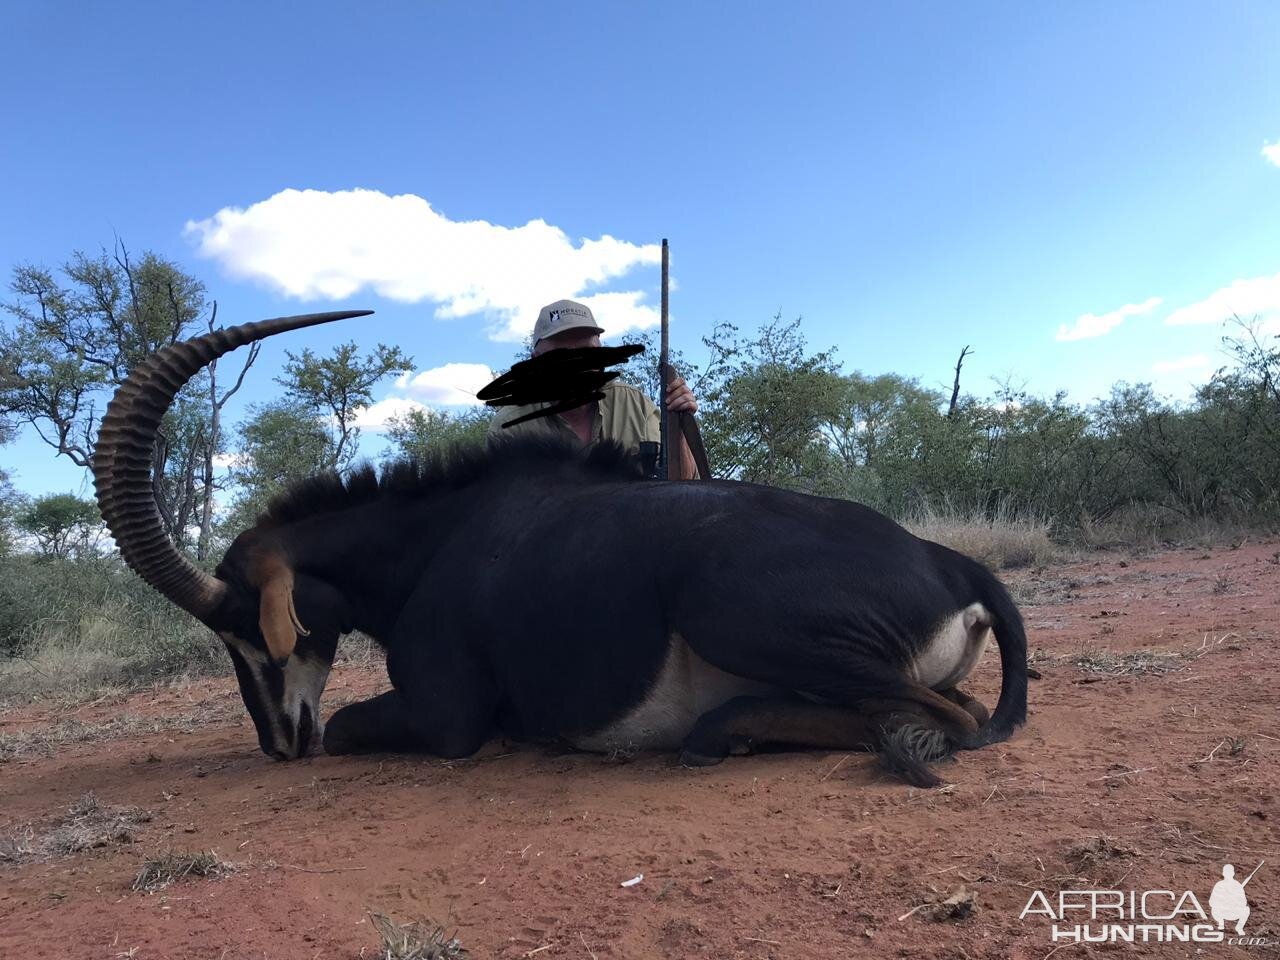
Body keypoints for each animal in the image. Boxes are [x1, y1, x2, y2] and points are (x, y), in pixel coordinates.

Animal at [92, 312, 1029, 783]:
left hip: (730, 609)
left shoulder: (446, 718)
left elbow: (354, 726)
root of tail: (953, 562)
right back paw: (723, 731)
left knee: (947, 718)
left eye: (245, 628)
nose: (278, 742)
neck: (434, 542)